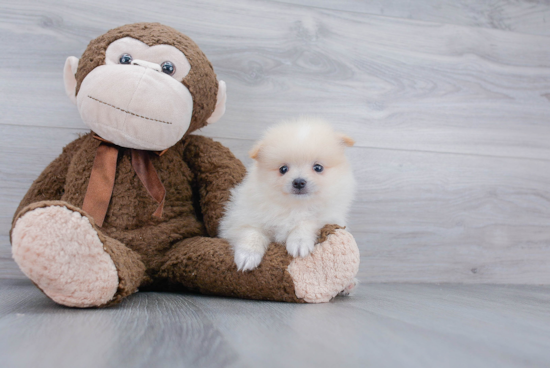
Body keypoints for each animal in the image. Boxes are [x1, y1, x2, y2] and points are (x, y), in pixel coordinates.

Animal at [220, 116, 358, 272]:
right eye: (283, 169)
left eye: (318, 167)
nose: (298, 182)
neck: (294, 207)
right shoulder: (242, 218)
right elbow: (251, 232)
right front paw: (247, 255)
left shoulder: (329, 217)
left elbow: (307, 222)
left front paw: (299, 241)